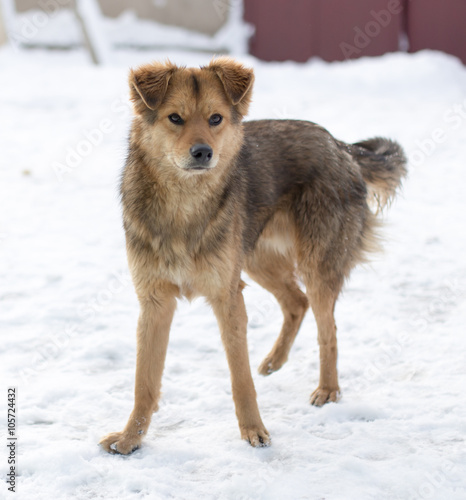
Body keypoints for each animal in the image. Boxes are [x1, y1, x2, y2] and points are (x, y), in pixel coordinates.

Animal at [99, 57, 408, 454]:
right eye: (175, 118)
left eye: (215, 118)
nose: (203, 153)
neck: (183, 204)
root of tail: (341, 146)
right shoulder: (154, 302)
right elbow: (144, 382)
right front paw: (130, 439)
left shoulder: (228, 298)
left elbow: (240, 378)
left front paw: (254, 430)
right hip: (256, 259)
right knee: (296, 302)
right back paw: (274, 362)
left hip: (315, 265)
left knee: (328, 328)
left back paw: (328, 389)